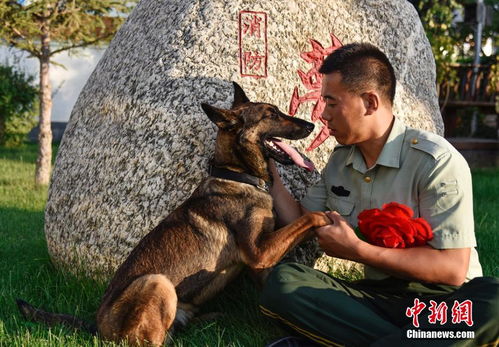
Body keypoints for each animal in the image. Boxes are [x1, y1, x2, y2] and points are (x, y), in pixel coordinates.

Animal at [17, 83, 332, 346]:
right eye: (272, 113)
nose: (312, 123)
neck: (237, 175)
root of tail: (96, 325)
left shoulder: (261, 261)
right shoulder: (259, 251)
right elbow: (309, 217)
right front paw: (330, 218)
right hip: (157, 282)